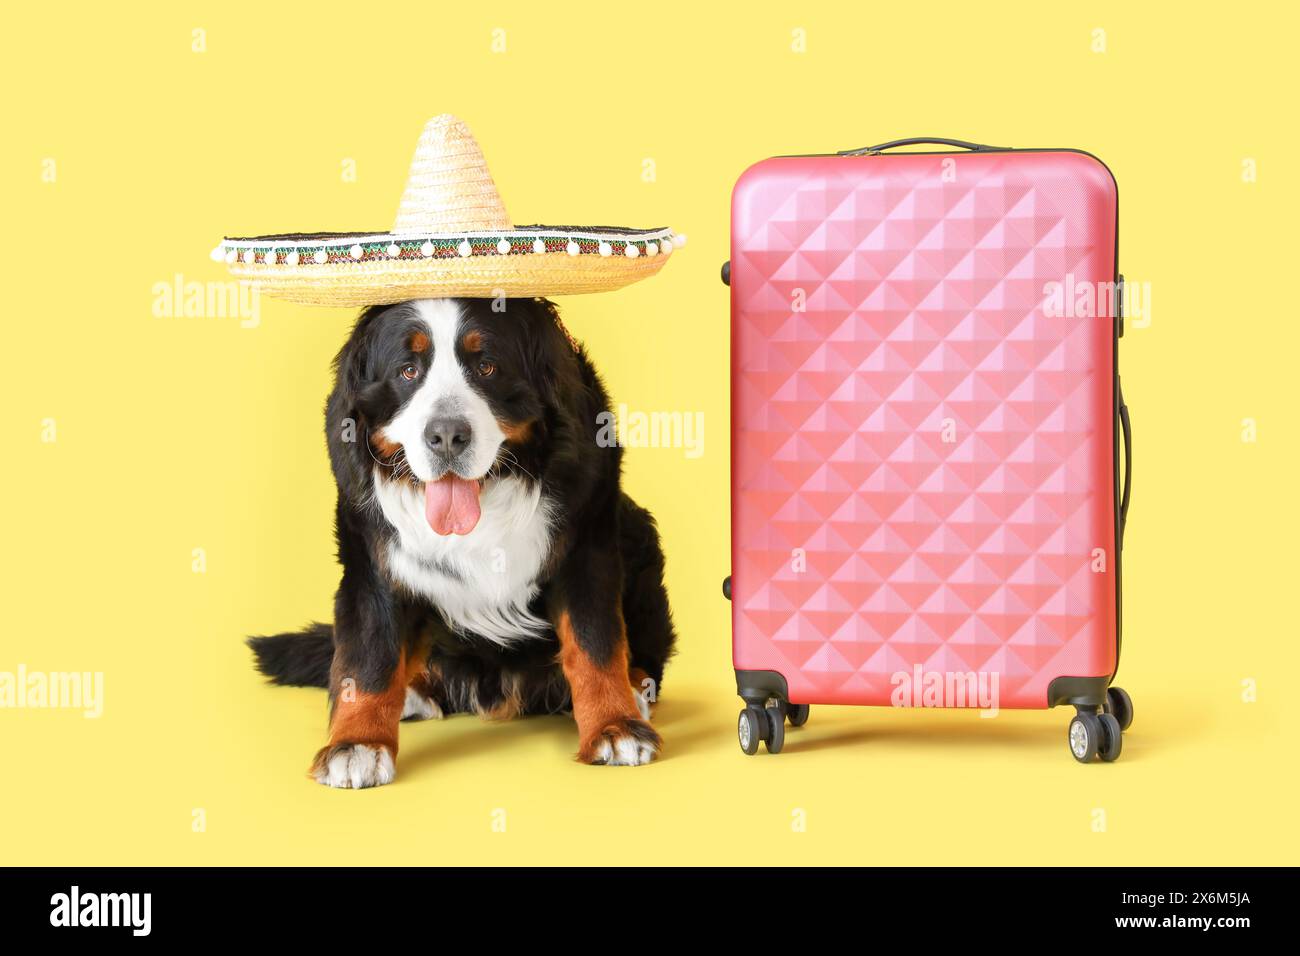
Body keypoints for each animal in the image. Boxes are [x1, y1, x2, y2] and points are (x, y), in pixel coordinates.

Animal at [250, 297, 681, 785]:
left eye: (487, 366)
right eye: (408, 371)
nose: (447, 435)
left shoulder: (586, 546)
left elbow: (596, 644)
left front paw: (614, 725)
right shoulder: (373, 562)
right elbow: (367, 658)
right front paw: (356, 745)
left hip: (638, 533)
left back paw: (637, 689)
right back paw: (414, 693)